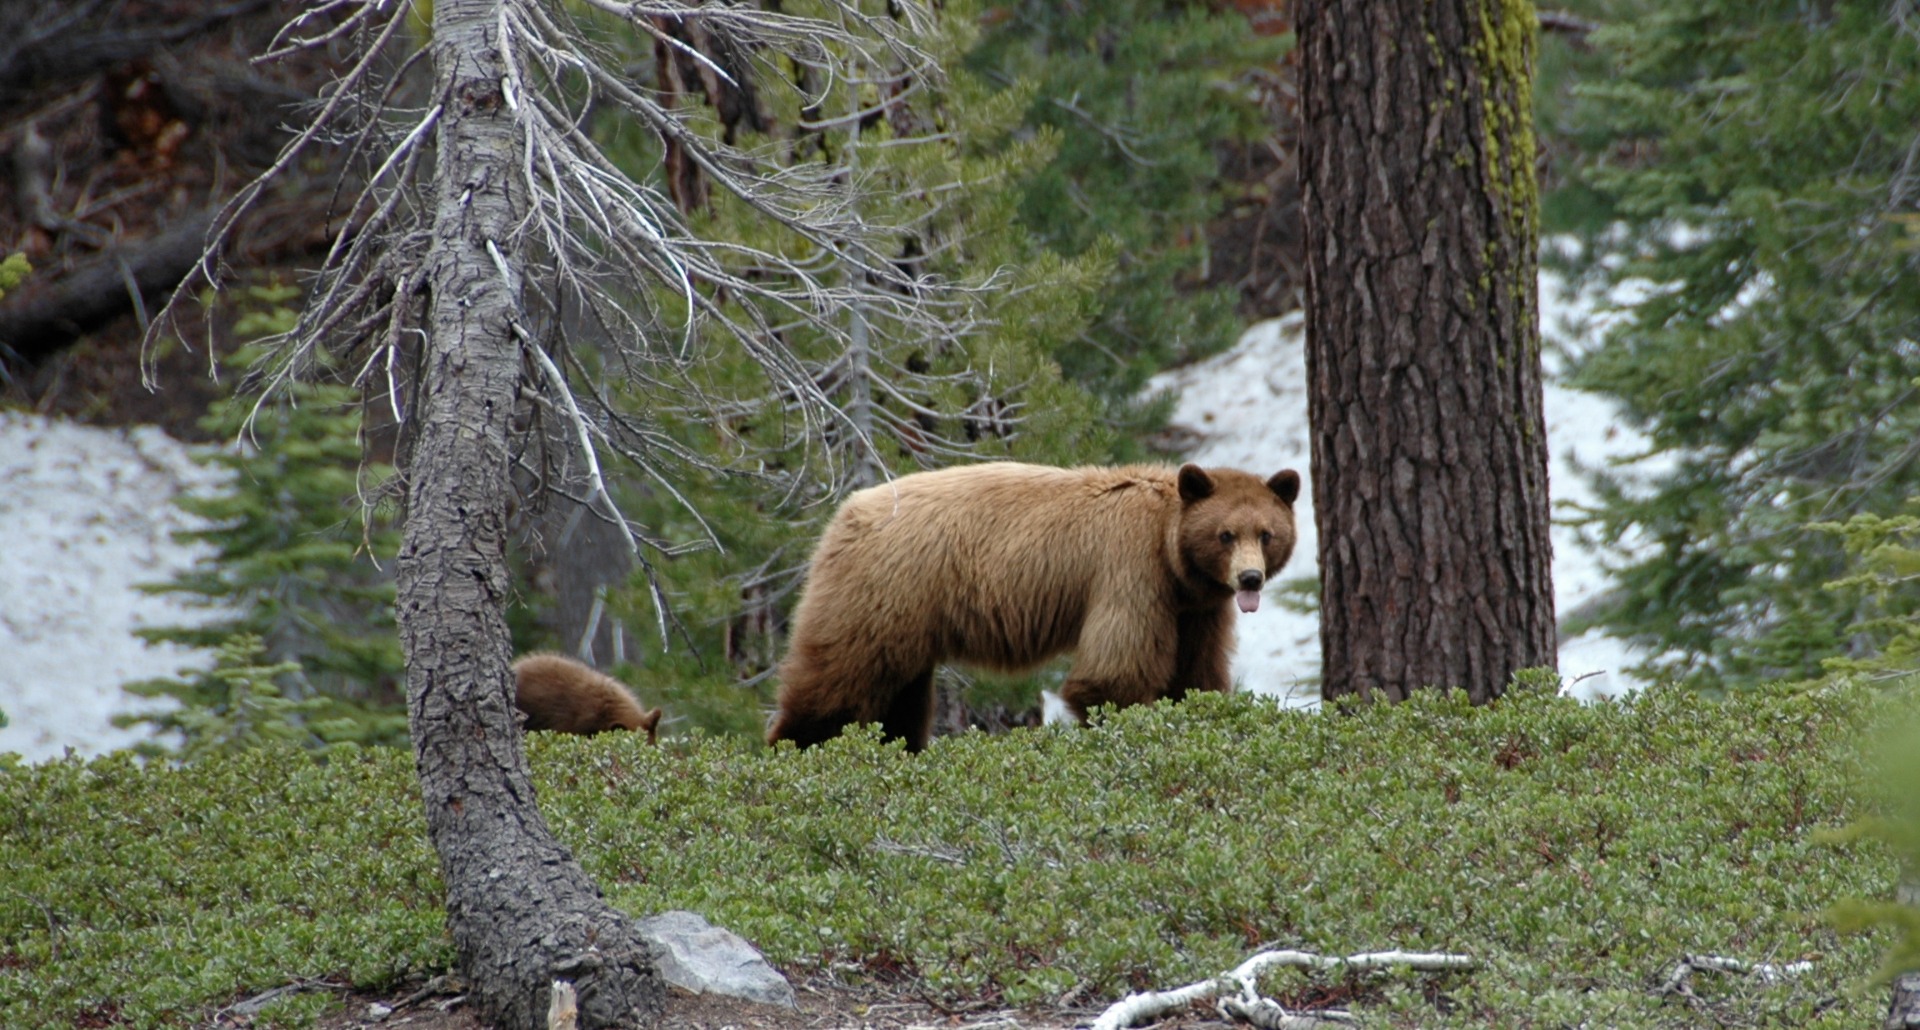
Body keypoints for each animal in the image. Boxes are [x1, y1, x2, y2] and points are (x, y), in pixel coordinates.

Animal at [768, 463, 1305, 753]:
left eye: (1266, 533)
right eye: (1225, 534)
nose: (1249, 578)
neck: (1171, 553)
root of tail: (843, 514)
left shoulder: (1195, 610)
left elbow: (1196, 675)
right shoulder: (1130, 572)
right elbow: (1113, 674)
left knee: (900, 700)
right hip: (883, 592)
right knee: (838, 682)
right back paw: (795, 747)